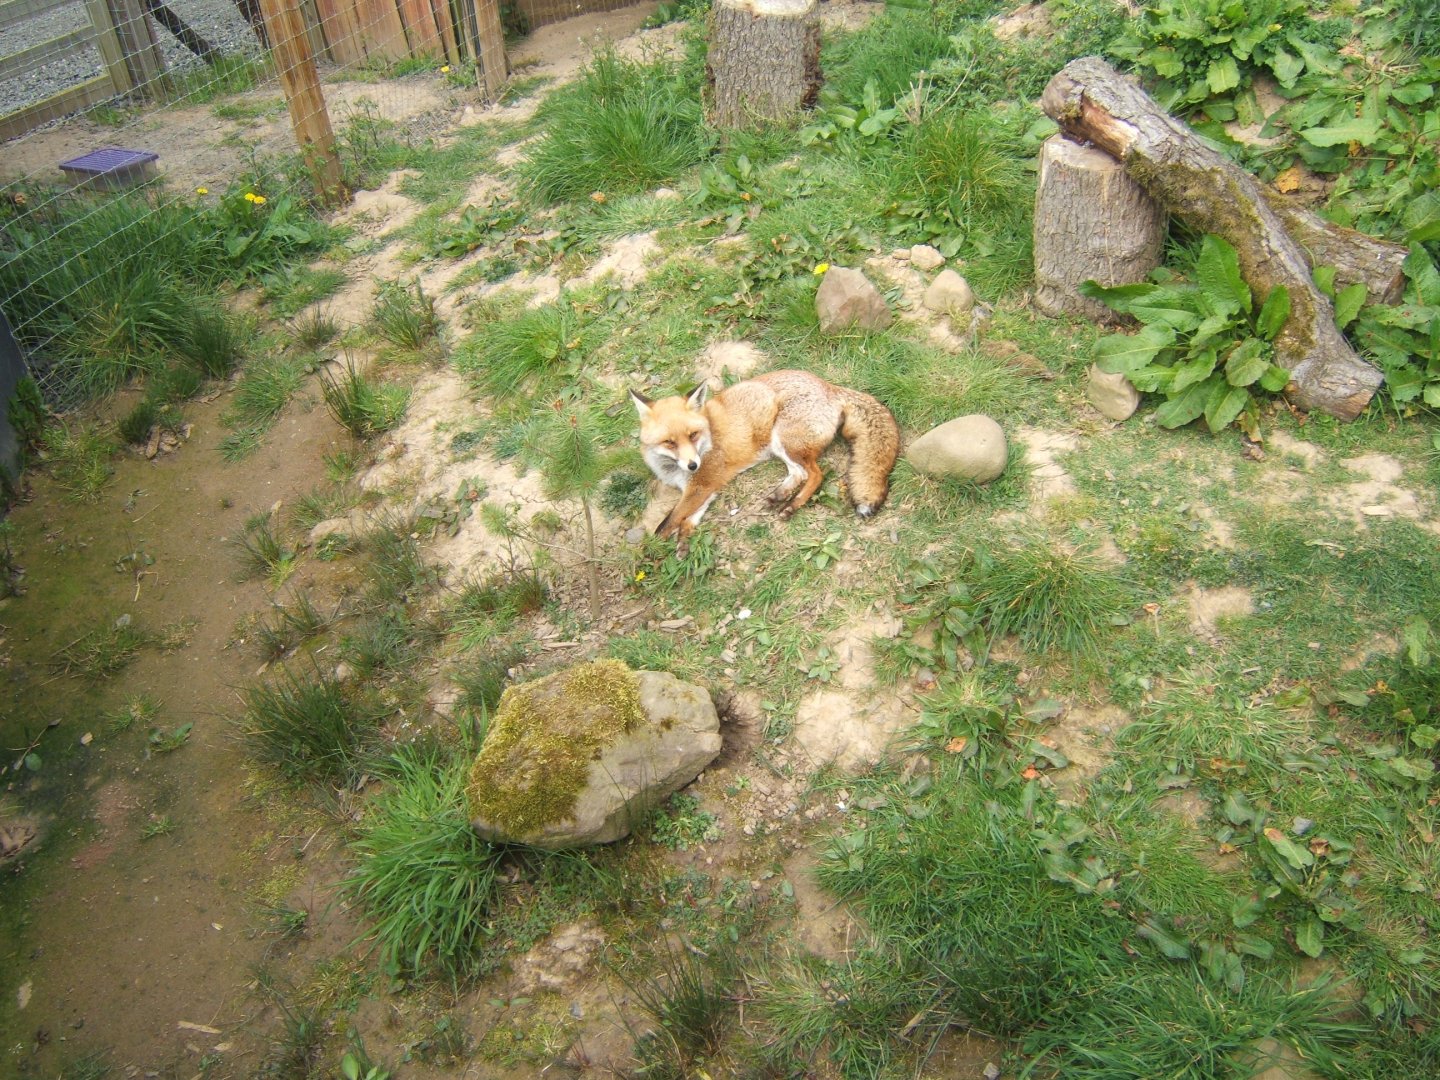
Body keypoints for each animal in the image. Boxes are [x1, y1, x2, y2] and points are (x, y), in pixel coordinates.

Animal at [629, 369, 901, 544]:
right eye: (669, 442)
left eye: (693, 435)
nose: (693, 464)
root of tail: (829, 386)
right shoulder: (706, 486)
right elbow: (689, 516)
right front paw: (684, 539)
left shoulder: (702, 483)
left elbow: (668, 521)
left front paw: (652, 552)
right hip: (779, 446)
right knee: (799, 473)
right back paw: (779, 496)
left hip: (784, 440)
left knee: (815, 474)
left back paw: (791, 506)